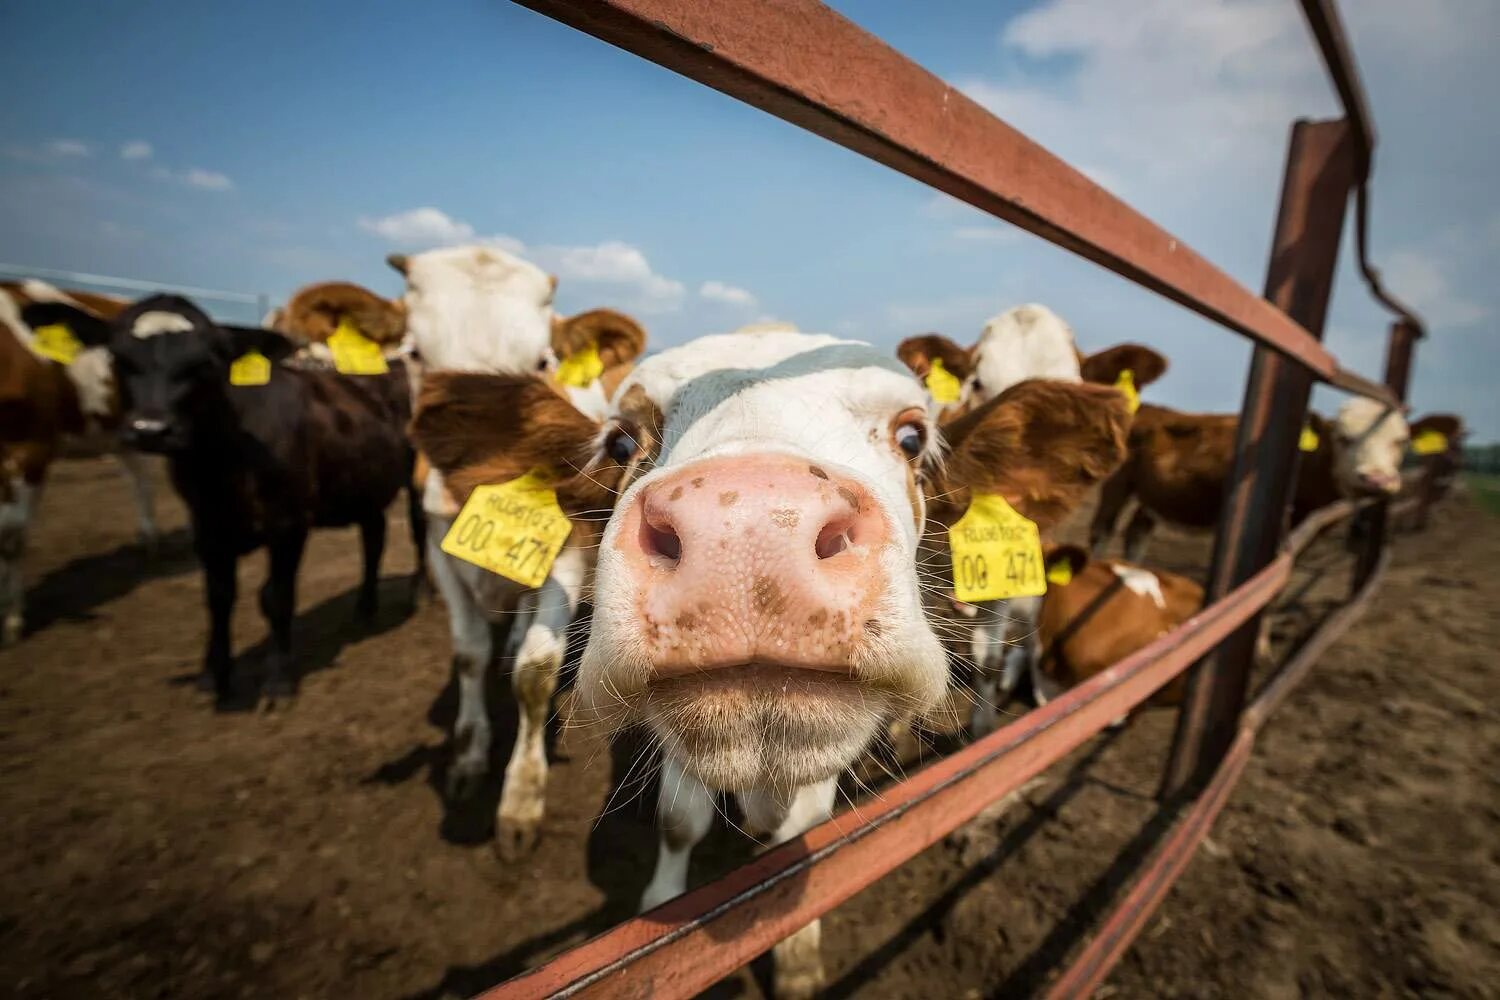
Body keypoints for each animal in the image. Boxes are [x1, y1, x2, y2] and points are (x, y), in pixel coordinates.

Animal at [21, 293, 423, 707]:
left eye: (205, 364)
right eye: (119, 358)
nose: (151, 430)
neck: (220, 466)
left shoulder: (288, 522)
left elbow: (276, 596)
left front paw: (278, 680)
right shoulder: (206, 525)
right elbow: (218, 598)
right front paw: (213, 676)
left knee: (416, 531)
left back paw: (418, 594)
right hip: (364, 485)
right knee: (374, 536)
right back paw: (364, 608)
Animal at [393, 244, 645, 863]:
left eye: (543, 361)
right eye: (412, 355)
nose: (467, 479)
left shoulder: (568, 553)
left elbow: (534, 672)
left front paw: (521, 801)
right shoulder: (439, 550)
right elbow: (468, 654)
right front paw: (468, 757)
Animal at [1086, 392, 1410, 563]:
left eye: (1401, 441)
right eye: (1343, 438)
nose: (1377, 479)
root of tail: (1151, 408)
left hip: (1153, 497)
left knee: (1137, 532)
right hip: (1116, 484)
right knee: (1102, 530)